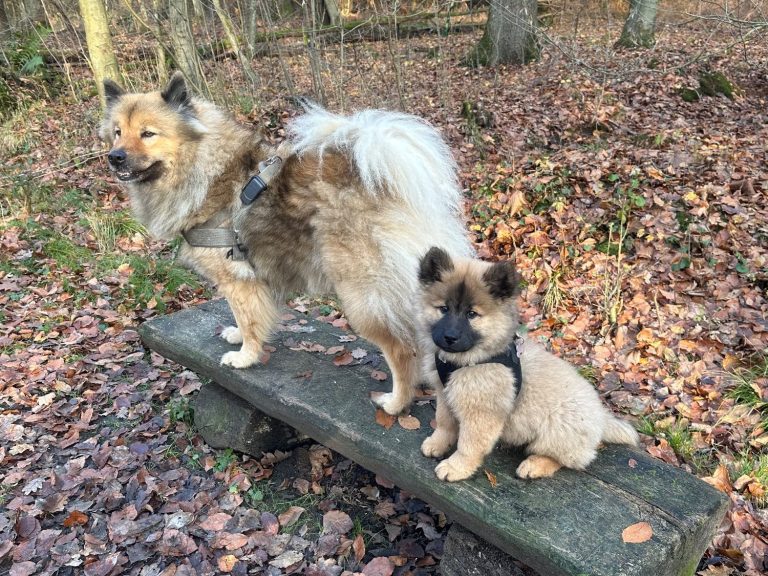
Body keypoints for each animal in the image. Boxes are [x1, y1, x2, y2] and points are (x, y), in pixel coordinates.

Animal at [99, 73, 473, 415]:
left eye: (148, 134)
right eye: (118, 131)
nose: (114, 157)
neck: (205, 167)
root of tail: (387, 186)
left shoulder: (238, 279)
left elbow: (250, 320)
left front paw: (245, 356)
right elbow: (244, 317)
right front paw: (237, 335)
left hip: (363, 297)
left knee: (402, 349)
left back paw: (396, 403)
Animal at [417, 247, 639, 481]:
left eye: (471, 314)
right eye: (443, 309)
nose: (449, 337)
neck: (469, 360)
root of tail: (601, 418)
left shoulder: (481, 414)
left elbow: (469, 445)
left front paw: (456, 467)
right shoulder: (445, 395)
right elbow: (444, 423)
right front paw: (437, 443)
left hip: (559, 426)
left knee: (563, 459)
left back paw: (535, 465)